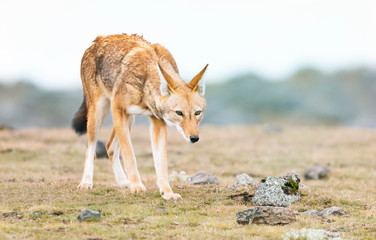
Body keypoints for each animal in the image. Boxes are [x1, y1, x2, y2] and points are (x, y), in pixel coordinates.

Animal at [72, 32, 207, 200]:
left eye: (197, 113)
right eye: (179, 113)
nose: (194, 138)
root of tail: (98, 39)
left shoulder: (157, 122)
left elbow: (161, 163)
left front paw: (167, 193)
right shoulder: (118, 110)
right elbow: (130, 155)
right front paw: (137, 186)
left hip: (130, 120)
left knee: (110, 147)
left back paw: (124, 182)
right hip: (99, 113)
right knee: (91, 149)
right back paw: (86, 183)